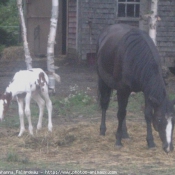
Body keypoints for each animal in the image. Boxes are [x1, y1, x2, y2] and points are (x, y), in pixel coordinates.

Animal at [97, 23, 175, 153]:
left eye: (173, 120)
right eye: (159, 120)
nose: (168, 147)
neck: (135, 57)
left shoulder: (147, 92)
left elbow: (147, 114)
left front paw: (150, 142)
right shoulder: (122, 90)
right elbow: (120, 113)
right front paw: (118, 141)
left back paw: (125, 133)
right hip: (103, 81)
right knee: (105, 103)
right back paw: (103, 130)